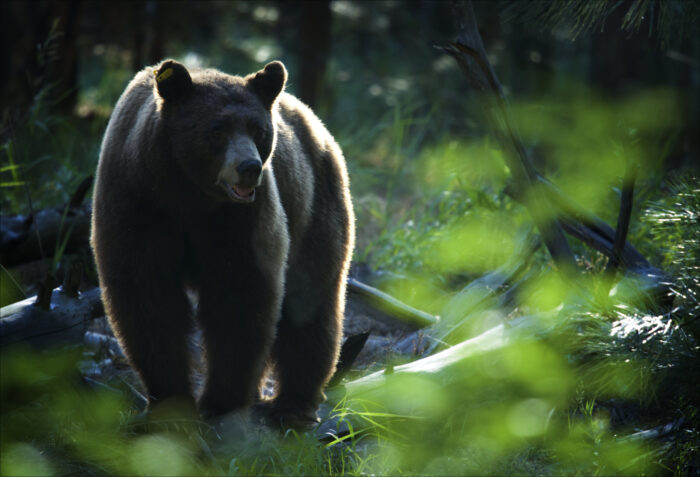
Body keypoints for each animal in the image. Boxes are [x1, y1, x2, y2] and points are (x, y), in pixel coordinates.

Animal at [91, 57, 356, 426]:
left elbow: (238, 294)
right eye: (216, 130)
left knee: (310, 303)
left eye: (258, 130)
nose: (250, 167)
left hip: (313, 205)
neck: (188, 191)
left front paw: (220, 399)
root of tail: (320, 129)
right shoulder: (138, 202)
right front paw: (169, 400)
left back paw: (293, 405)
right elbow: (148, 296)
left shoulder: (239, 220)